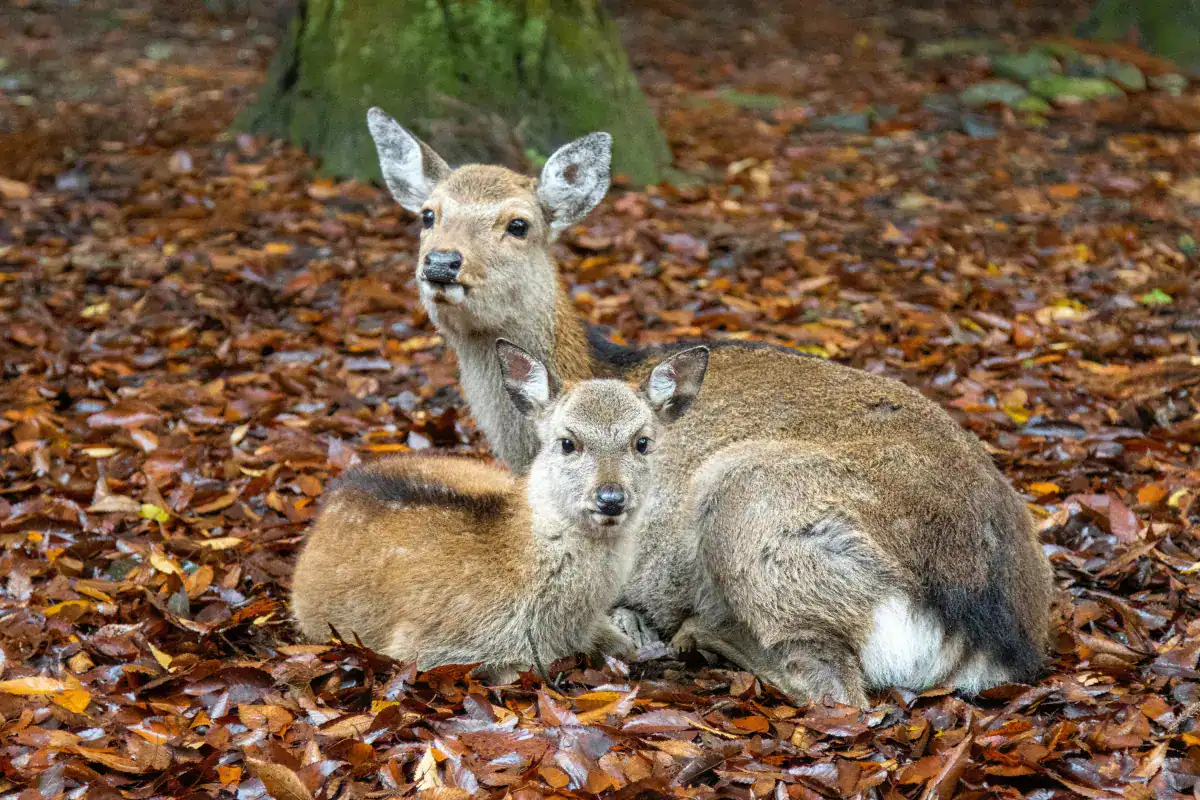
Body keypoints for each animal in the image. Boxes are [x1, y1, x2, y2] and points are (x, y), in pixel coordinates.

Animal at [364, 108, 1055, 706]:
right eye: (427, 214)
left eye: (518, 224)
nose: (442, 263)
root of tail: (982, 630)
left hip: (752, 498)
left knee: (837, 688)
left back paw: (700, 635)